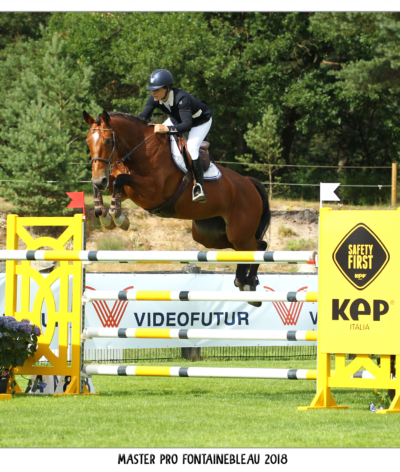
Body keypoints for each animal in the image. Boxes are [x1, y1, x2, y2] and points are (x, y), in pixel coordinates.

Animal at [84, 110, 272, 306]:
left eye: (108, 141)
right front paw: (104, 215)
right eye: (88, 141)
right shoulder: (125, 188)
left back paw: (249, 284)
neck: (140, 150)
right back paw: (244, 282)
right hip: (210, 235)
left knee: (258, 247)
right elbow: (106, 184)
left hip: (239, 232)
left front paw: (118, 217)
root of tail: (249, 183)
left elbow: (120, 180)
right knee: (246, 249)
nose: (100, 178)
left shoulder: (153, 190)